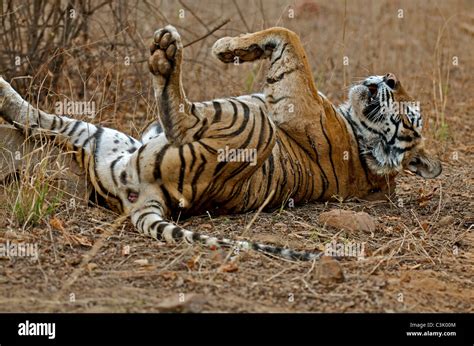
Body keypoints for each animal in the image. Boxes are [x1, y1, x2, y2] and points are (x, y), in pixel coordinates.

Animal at [0, 25, 440, 260]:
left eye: (406, 117)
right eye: (401, 98)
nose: (388, 78)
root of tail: (143, 195)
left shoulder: (296, 97)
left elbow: (290, 37)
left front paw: (223, 46)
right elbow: (286, 37)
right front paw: (233, 48)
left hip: (247, 121)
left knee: (181, 116)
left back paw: (165, 54)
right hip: (109, 140)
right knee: (39, 118)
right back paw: (6, 92)